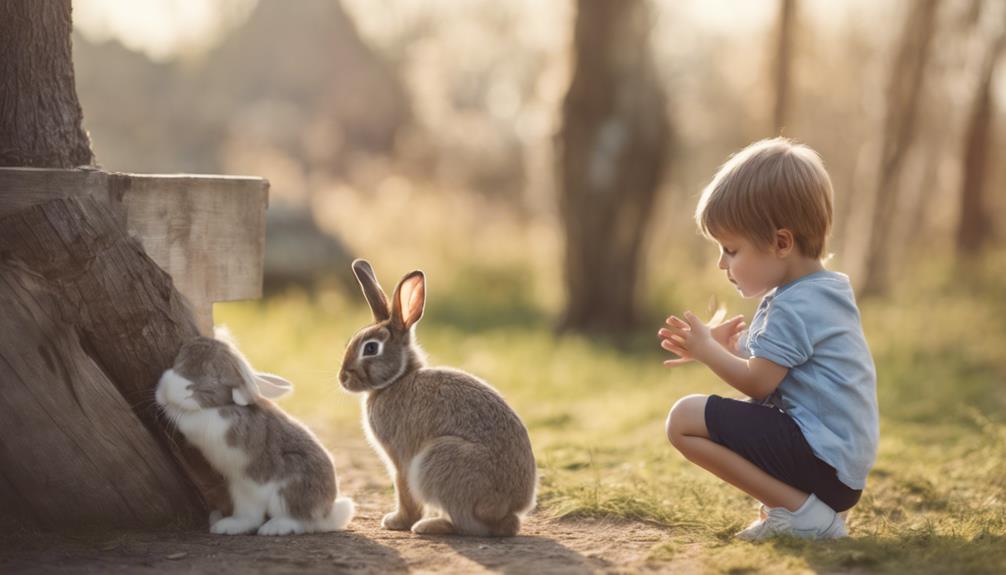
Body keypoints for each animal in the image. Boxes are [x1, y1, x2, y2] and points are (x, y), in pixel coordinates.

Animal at [157, 329, 358, 538]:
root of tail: (327, 513)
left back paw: (267, 528)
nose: (167, 389)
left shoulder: (210, 424)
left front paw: (164, 399)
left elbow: (186, 417)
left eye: (211, 380)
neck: (224, 406)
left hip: (284, 491)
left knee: (297, 520)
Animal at [340, 257, 539, 538]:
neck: (397, 380)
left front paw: (397, 522)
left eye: (370, 348)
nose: (342, 378)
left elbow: (404, 491)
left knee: (468, 523)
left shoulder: (401, 458)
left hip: (439, 461)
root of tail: (508, 509)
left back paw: (429, 525)